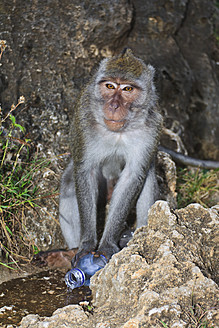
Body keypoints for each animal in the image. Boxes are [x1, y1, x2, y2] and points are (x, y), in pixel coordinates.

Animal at [58, 48, 163, 262]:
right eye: (109, 86)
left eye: (127, 89)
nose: (114, 106)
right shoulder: (84, 120)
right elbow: (85, 172)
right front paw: (87, 245)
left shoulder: (152, 128)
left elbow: (133, 177)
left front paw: (107, 244)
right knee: (69, 181)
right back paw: (69, 252)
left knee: (147, 178)